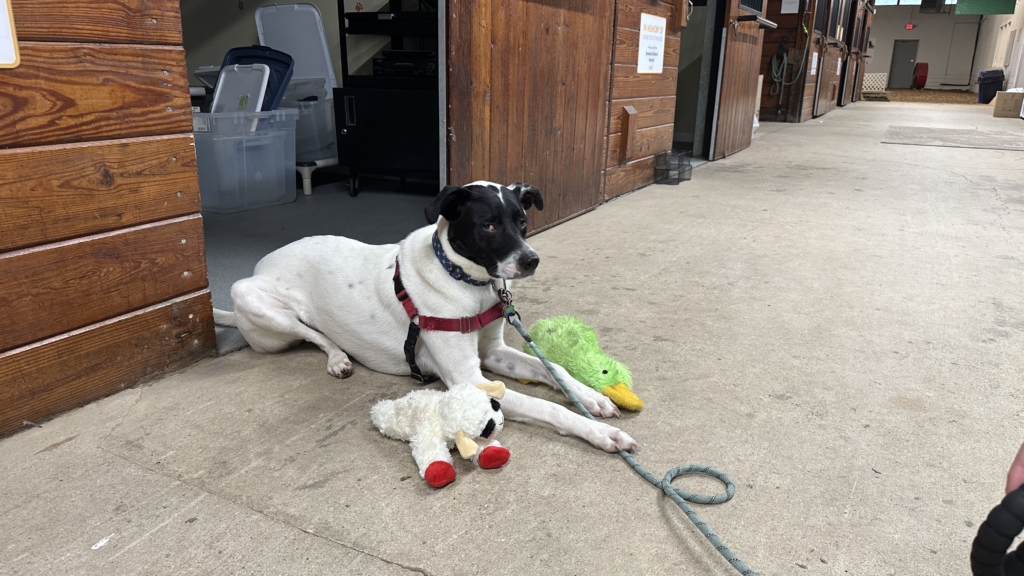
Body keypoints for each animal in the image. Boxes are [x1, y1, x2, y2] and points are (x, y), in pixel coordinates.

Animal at [212, 181, 634, 450]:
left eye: (522, 222)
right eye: (489, 225)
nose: (531, 260)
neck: (467, 283)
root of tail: (262, 264)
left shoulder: (492, 353)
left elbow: (554, 369)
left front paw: (591, 397)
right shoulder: (470, 380)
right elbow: (546, 406)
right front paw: (598, 432)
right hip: (250, 296)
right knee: (316, 335)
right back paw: (337, 358)